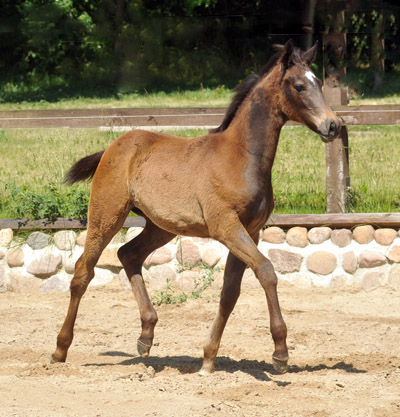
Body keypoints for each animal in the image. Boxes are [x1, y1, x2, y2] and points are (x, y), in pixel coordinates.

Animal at [51, 39, 340, 374]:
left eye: (319, 82)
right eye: (299, 85)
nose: (333, 125)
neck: (241, 157)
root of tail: (113, 147)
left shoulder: (250, 231)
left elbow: (230, 292)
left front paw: (208, 357)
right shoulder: (226, 226)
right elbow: (267, 271)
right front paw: (280, 352)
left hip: (160, 226)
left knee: (128, 254)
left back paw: (146, 336)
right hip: (107, 214)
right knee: (83, 271)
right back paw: (60, 349)